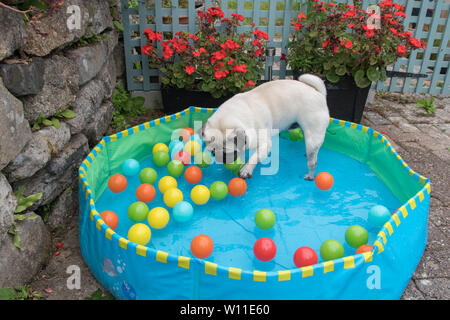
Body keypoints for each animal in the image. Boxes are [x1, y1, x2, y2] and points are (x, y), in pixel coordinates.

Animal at [199, 74, 328, 181]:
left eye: (229, 153)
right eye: (213, 152)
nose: (221, 160)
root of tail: (317, 92)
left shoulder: (264, 144)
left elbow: (254, 157)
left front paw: (246, 170)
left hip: (313, 137)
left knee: (312, 161)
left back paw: (310, 175)